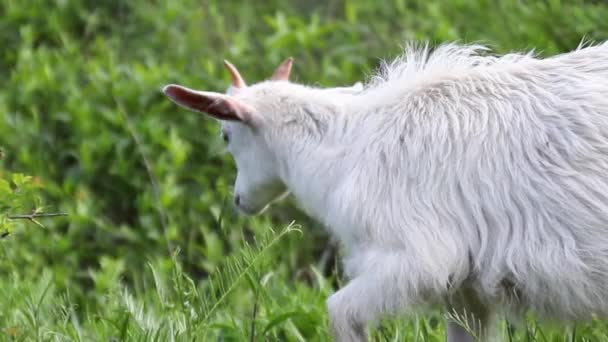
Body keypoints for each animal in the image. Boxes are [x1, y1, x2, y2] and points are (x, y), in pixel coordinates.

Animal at [164, 43, 608, 342]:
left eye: (226, 136)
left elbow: (340, 312)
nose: (240, 200)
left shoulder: (417, 259)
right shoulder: (465, 288)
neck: (347, 149)